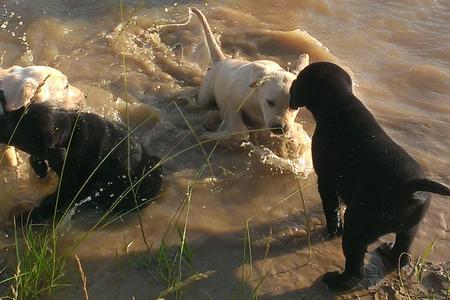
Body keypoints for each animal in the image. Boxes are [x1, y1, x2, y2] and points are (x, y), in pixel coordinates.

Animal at [0, 102, 162, 221]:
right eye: (15, 111)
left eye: (17, 126)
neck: (68, 134)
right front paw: (40, 168)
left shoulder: (70, 186)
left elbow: (51, 203)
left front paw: (26, 218)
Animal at [190, 7, 310, 142]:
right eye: (269, 102)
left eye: (294, 107)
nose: (279, 128)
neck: (257, 100)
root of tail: (221, 60)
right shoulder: (231, 99)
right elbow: (238, 129)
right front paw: (209, 135)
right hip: (205, 96)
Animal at [290, 61, 448, 290]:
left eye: (298, 80)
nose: (291, 88)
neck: (339, 103)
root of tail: (409, 187)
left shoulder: (326, 180)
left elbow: (332, 209)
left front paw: (333, 230)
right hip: (410, 229)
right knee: (402, 254)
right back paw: (388, 253)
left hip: (357, 225)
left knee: (355, 269)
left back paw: (336, 281)